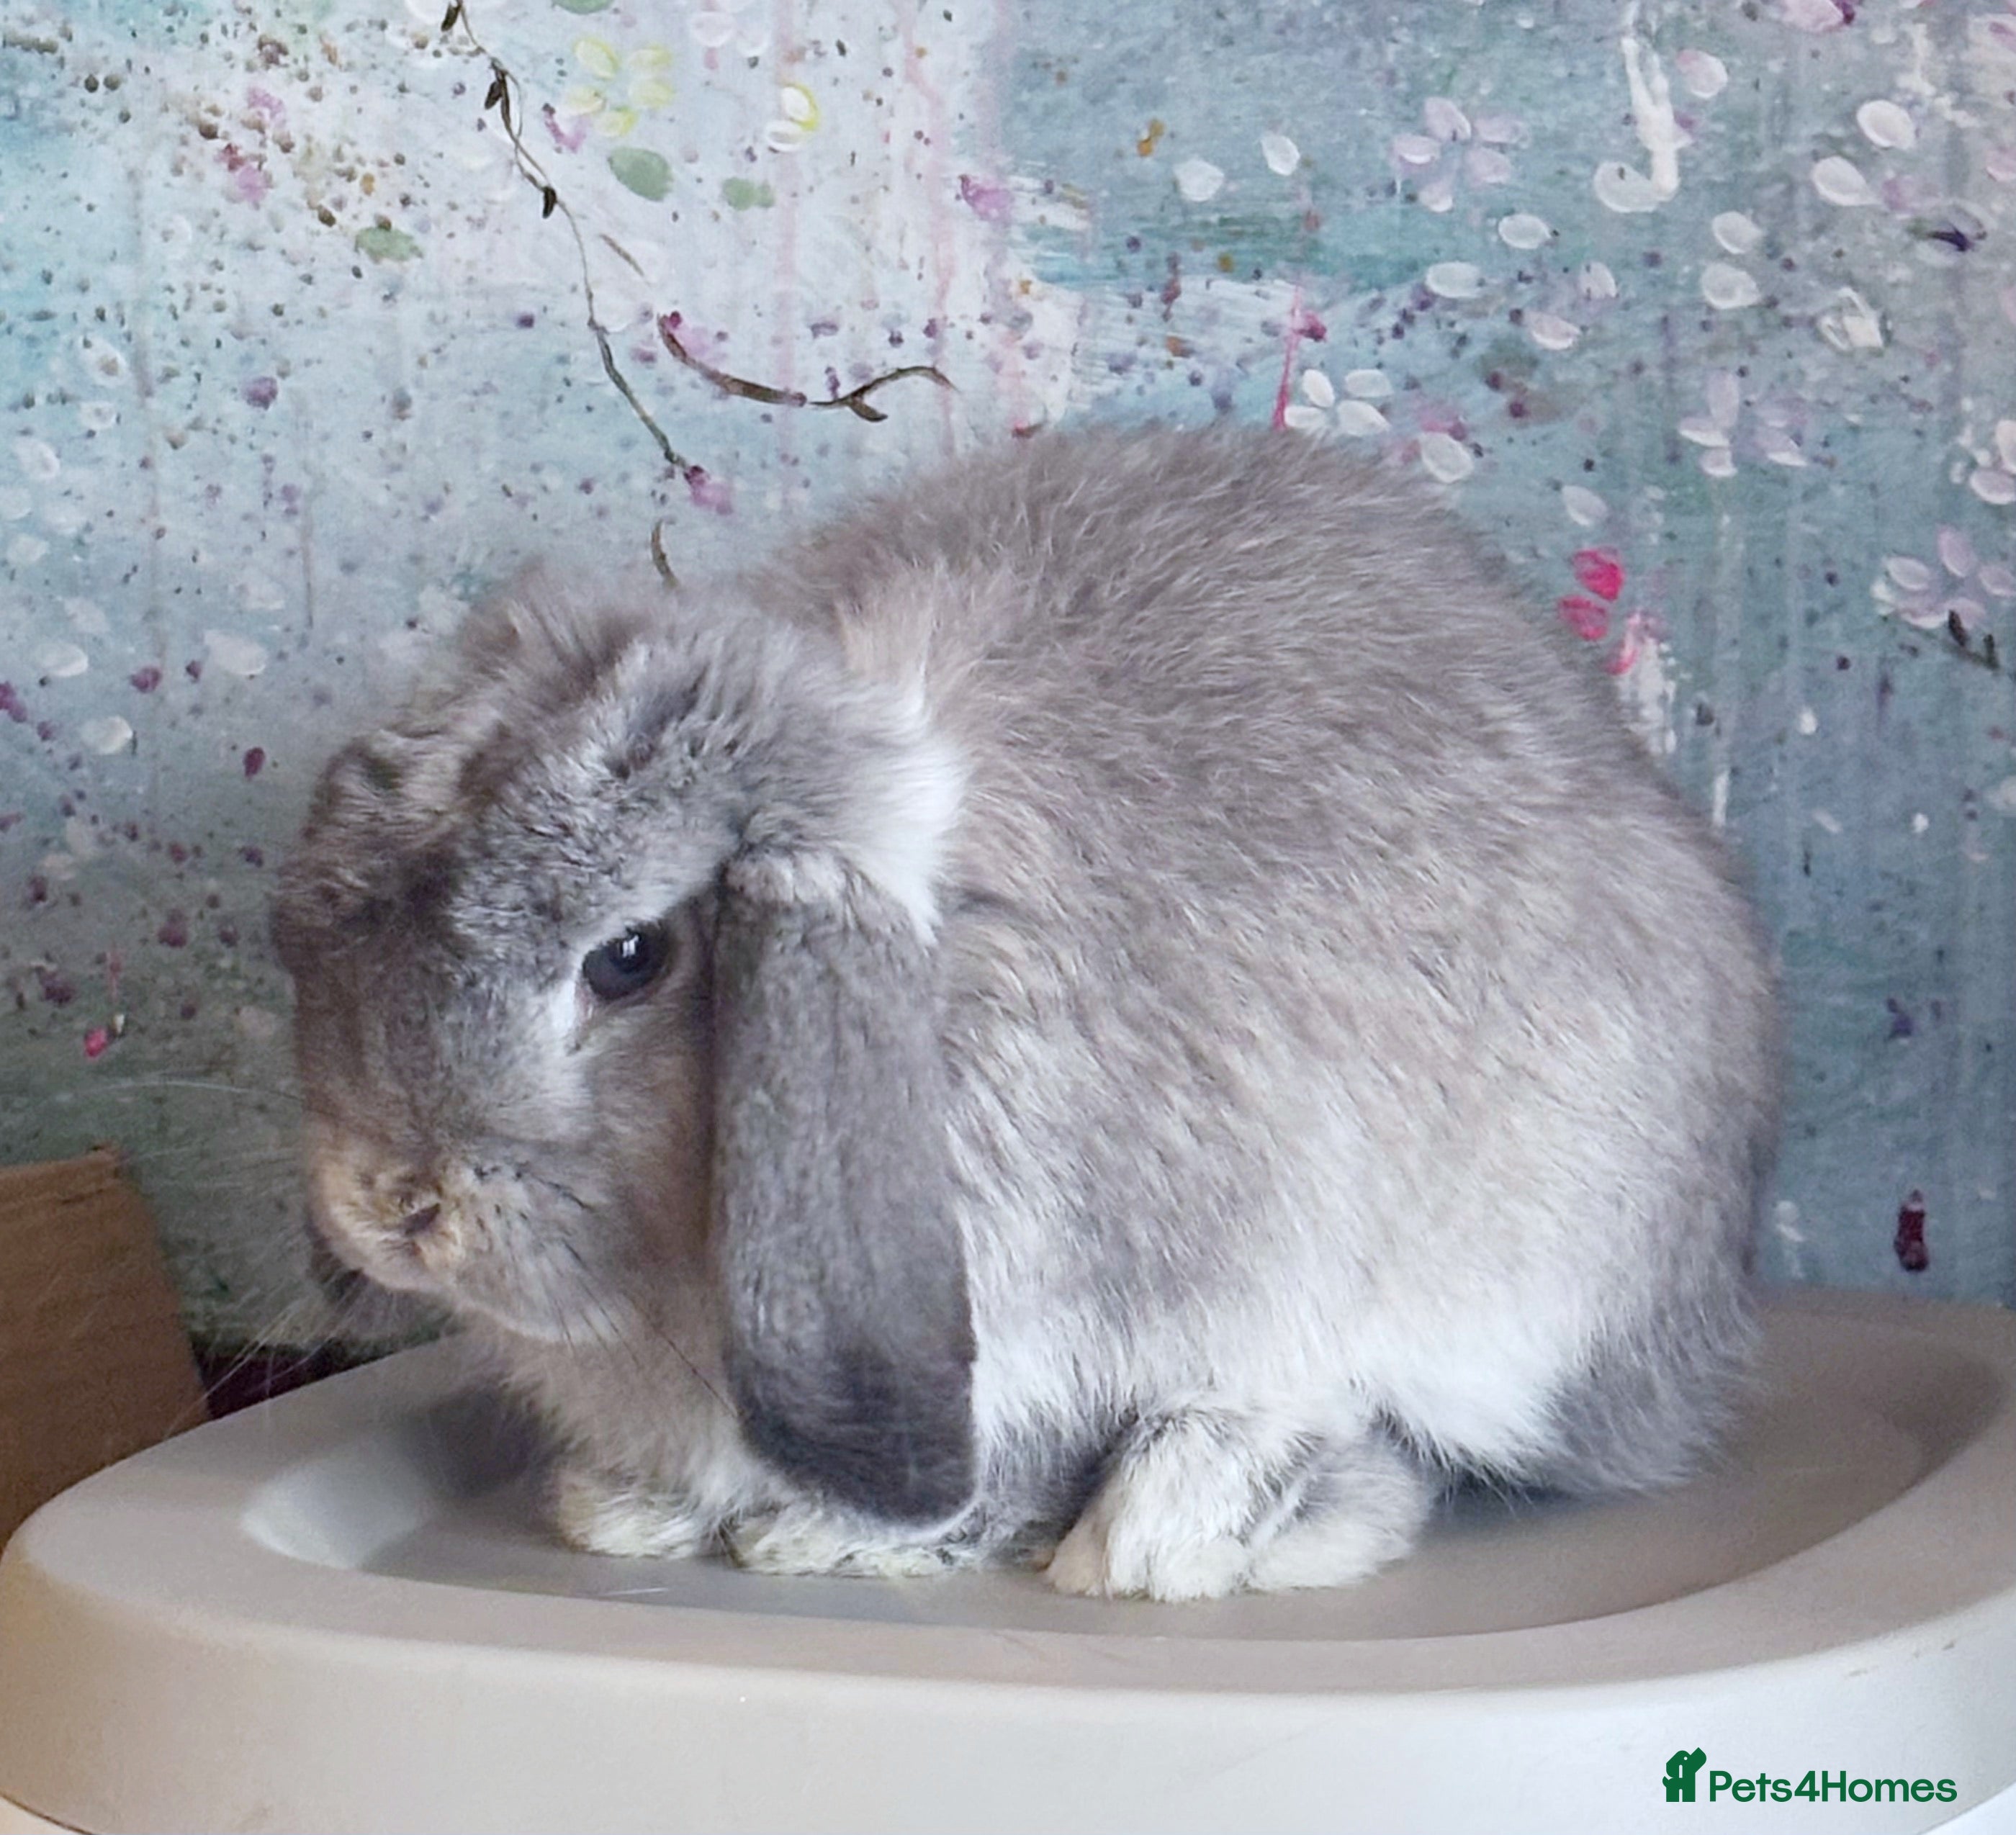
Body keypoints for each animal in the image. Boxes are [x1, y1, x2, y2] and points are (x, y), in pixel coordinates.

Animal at [271, 426, 1779, 1602]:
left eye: (630, 956)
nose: (394, 1200)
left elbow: (1034, 1457)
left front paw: (838, 1537)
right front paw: (637, 1512)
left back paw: (1179, 1524)